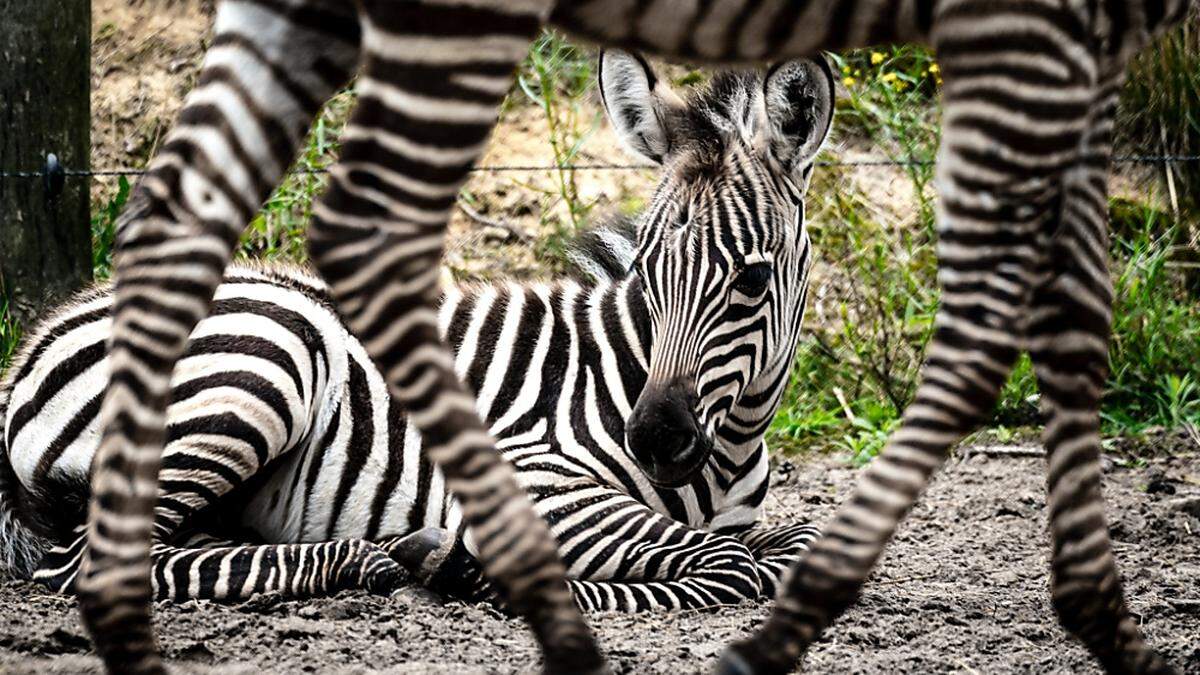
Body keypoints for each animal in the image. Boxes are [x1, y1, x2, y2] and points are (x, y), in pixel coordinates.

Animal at [77, 0, 1190, 667]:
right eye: (649, 272)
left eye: (750, 278)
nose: (654, 438)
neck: (728, 445)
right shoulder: (537, 471)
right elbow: (728, 560)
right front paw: (495, 571)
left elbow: (760, 542)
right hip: (258, 370)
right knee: (89, 555)